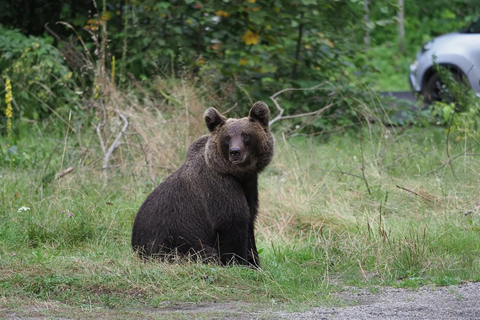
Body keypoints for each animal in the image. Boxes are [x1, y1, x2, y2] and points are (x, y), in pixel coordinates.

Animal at [130, 101, 274, 266]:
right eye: (227, 137)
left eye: (246, 135)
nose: (235, 152)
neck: (238, 175)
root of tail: (136, 247)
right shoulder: (219, 188)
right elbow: (233, 222)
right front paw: (239, 262)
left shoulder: (249, 186)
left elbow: (250, 220)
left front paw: (254, 262)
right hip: (173, 243)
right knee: (206, 253)